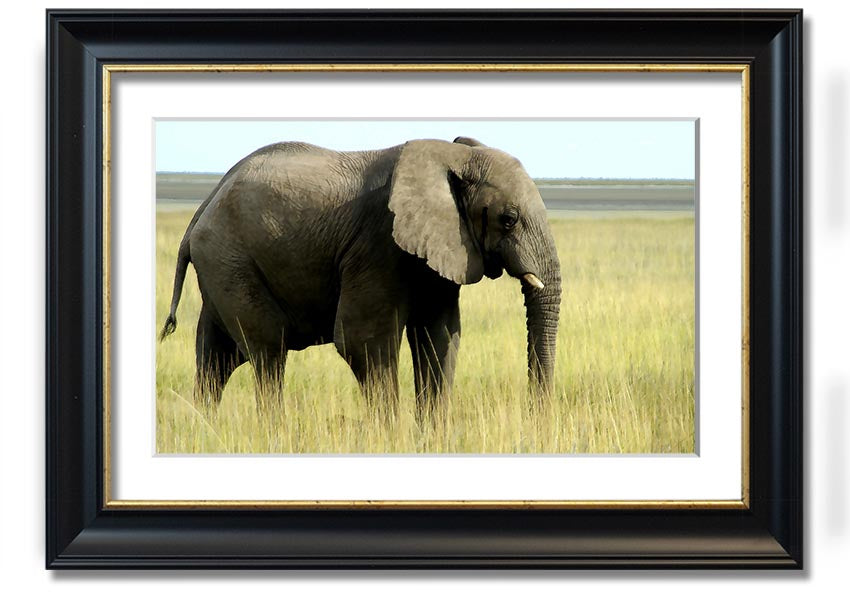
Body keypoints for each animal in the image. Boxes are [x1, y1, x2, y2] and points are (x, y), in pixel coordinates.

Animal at [159, 136, 561, 418]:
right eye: (508, 219)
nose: (535, 420)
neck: (451, 155)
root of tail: (200, 212)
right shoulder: (378, 243)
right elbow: (364, 342)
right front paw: (392, 439)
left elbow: (440, 336)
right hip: (231, 260)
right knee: (268, 351)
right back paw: (272, 431)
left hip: (222, 267)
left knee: (217, 357)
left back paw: (207, 429)